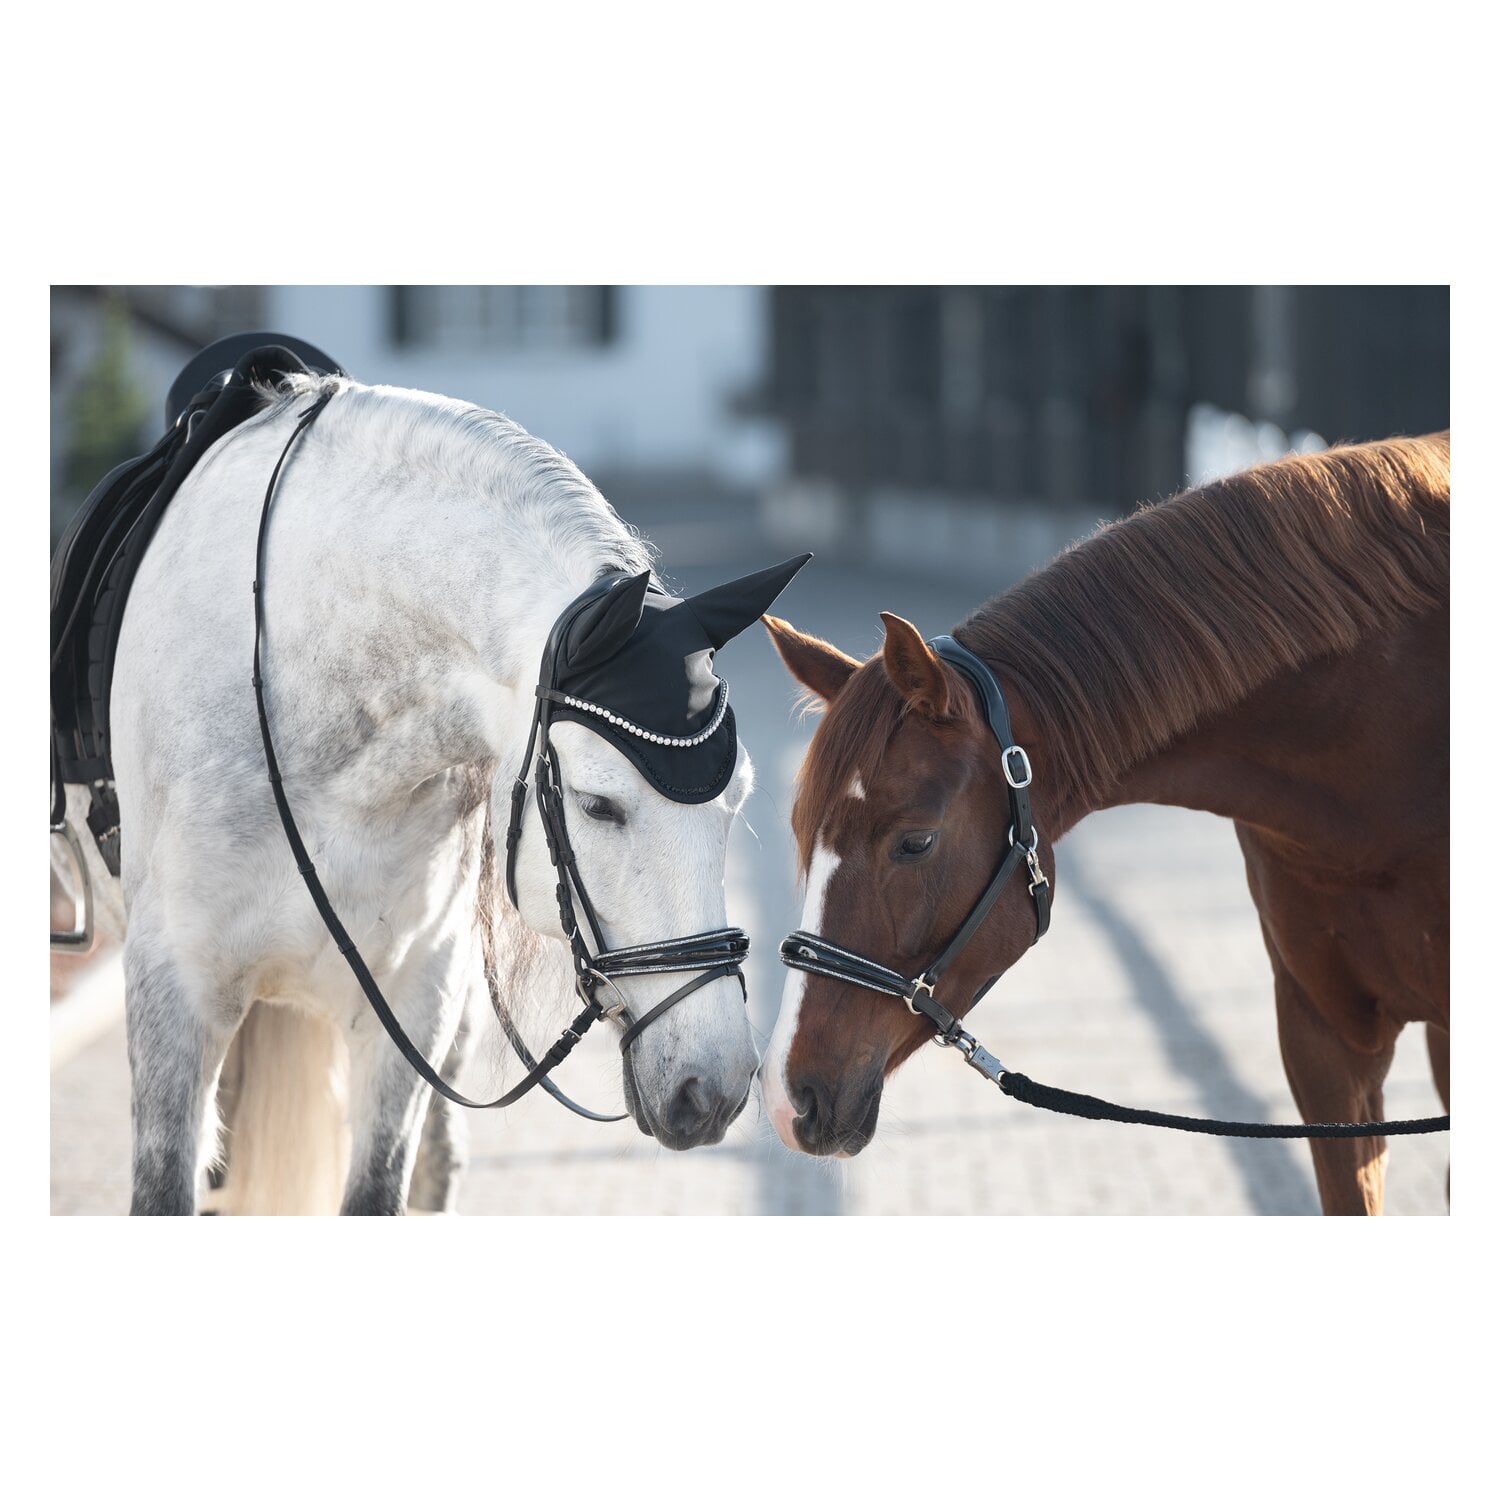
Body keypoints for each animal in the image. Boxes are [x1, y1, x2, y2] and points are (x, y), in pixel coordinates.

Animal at [59, 369, 802, 1215]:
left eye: (735, 802)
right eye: (598, 805)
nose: (713, 1089)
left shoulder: (416, 996)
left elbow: (380, 1189)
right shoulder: (175, 991)